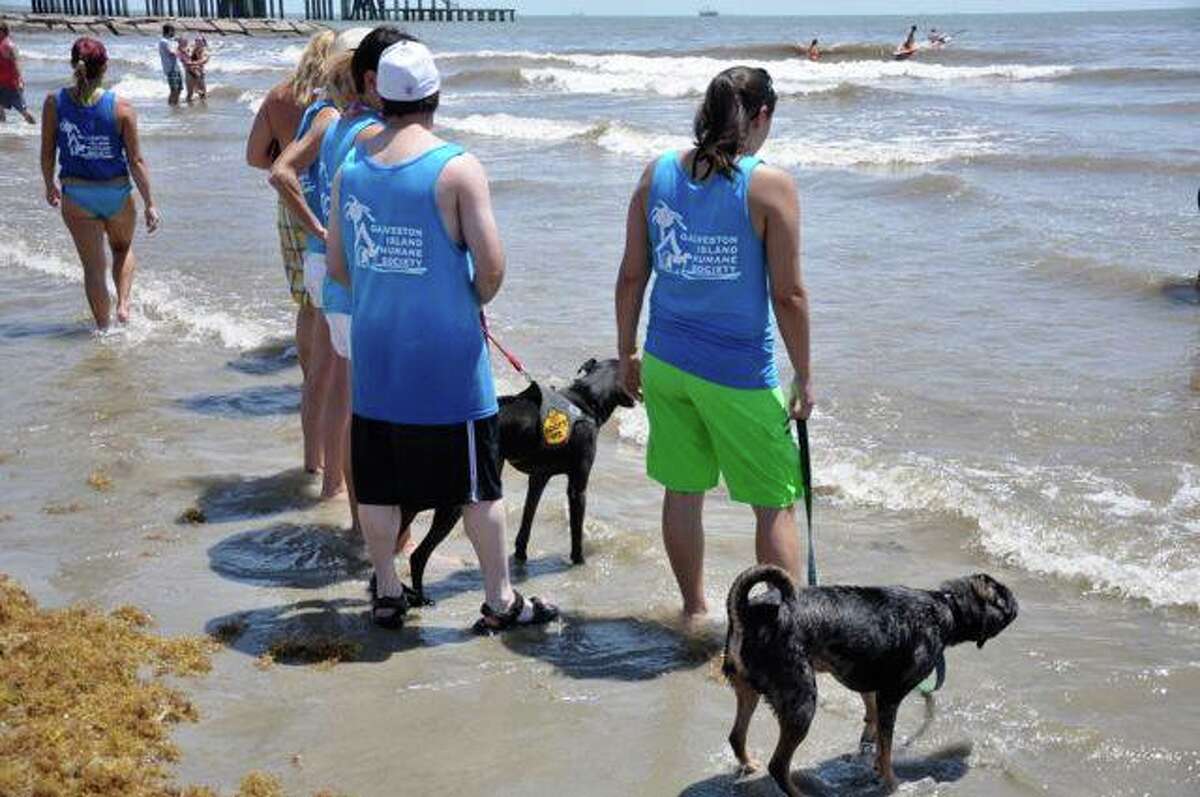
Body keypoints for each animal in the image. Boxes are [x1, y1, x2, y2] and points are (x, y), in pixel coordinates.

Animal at [398, 357, 633, 600]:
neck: (587, 399)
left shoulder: (538, 478)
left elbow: (527, 519)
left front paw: (520, 556)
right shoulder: (578, 485)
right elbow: (576, 532)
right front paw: (579, 562)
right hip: (455, 497)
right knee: (418, 554)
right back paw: (420, 597)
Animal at [720, 564, 1022, 792]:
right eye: (1006, 599)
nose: (1018, 605)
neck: (946, 607)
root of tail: (746, 611)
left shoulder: (870, 684)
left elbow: (875, 727)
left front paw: (871, 756)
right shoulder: (890, 696)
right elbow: (887, 748)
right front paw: (891, 782)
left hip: (749, 690)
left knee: (737, 736)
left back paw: (748, 764)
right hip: (801, 702)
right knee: (778, 765)